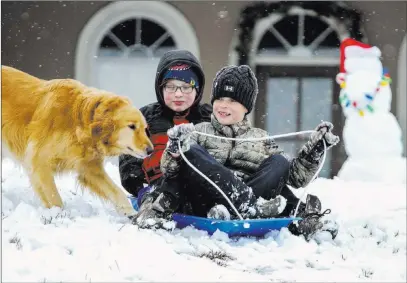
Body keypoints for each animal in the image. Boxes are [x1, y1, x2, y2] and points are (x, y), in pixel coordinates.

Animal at [0, 66, 154, 217]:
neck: (79, 120)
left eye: (145, 128)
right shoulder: (39, 161)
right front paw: (58, 215)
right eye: (132, 126)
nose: (151, 150)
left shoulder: (89, 168)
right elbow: (53, 196)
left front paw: (130, 212)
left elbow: (116, 190)